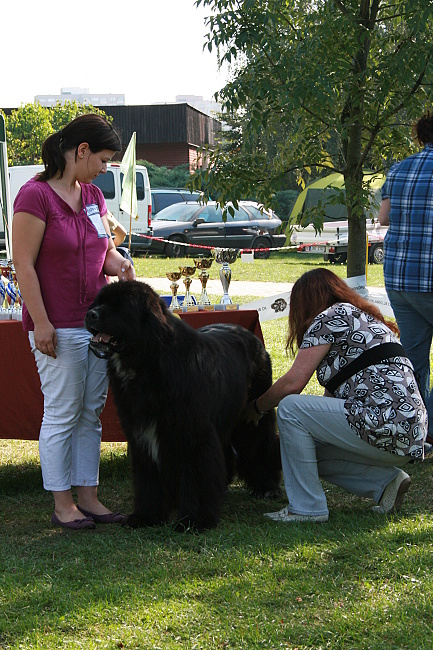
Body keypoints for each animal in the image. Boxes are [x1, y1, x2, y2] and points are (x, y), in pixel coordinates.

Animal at [85, 280, 280, 528]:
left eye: (118, 307)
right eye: (99, 302)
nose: (90, 314)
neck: (148, 363)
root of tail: (253, 339)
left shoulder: (192, 433)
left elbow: (196, 474)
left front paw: (194, 520)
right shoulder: (142, 435)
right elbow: (149, 478)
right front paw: (147, 515)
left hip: (252, 417)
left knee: (260, 444)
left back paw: (267, 487)